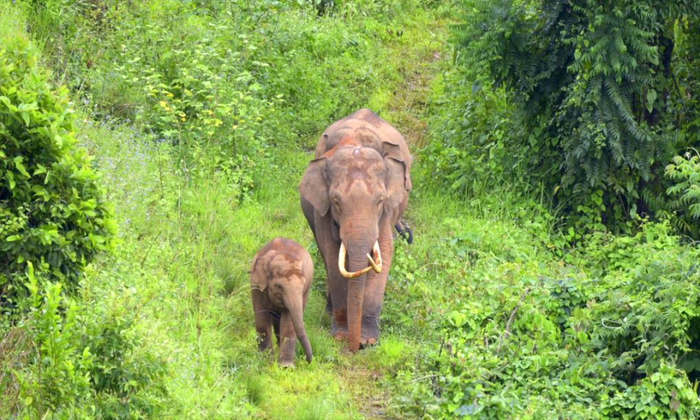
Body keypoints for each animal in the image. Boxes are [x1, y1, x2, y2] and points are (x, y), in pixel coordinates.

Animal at [250, 237, 314, 367]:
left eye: (302, 287)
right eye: (279, 287)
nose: (308, 361)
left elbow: (289, 324)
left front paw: (286, 367)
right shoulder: (256, 285)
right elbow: (261, 320)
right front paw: (266, 361)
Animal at [299, 108, 412, 353]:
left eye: (380, 201)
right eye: (336, 201)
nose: (353, 349)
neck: (354, 142)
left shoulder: (386, 213)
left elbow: (385, 253)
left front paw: (368, 341)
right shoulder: (322, 210)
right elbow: (333, 257)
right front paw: (341, 336)